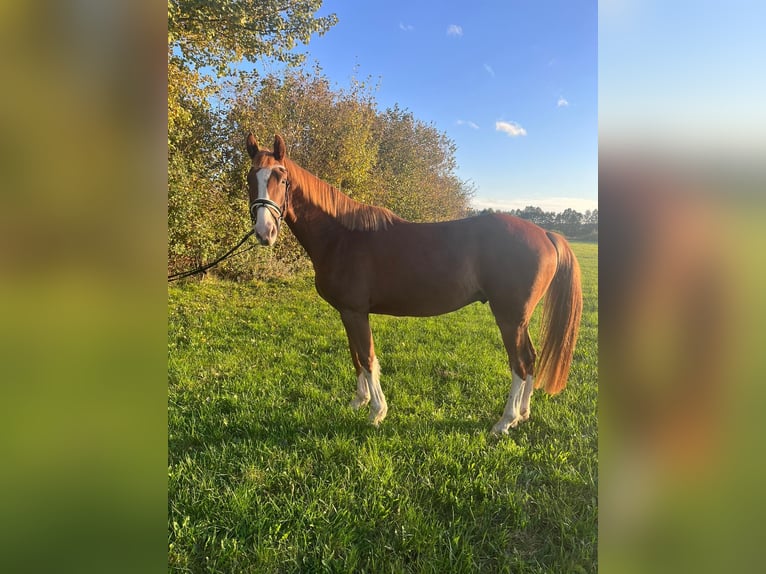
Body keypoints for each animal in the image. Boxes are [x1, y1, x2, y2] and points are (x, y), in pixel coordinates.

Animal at [246, 134, 584, 432]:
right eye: (251, 179)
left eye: (282, 179)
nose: (264, 232)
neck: (341, 236)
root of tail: (545, 234)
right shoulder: (347, 312)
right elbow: (355, 355)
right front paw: (359, 402)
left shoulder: (356, 312)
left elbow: (367, 357)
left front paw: (377, 412)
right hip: (519, 320)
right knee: (530, 359)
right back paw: (523, 414)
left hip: (510, 318)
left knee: (520, 363)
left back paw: (505, 421)